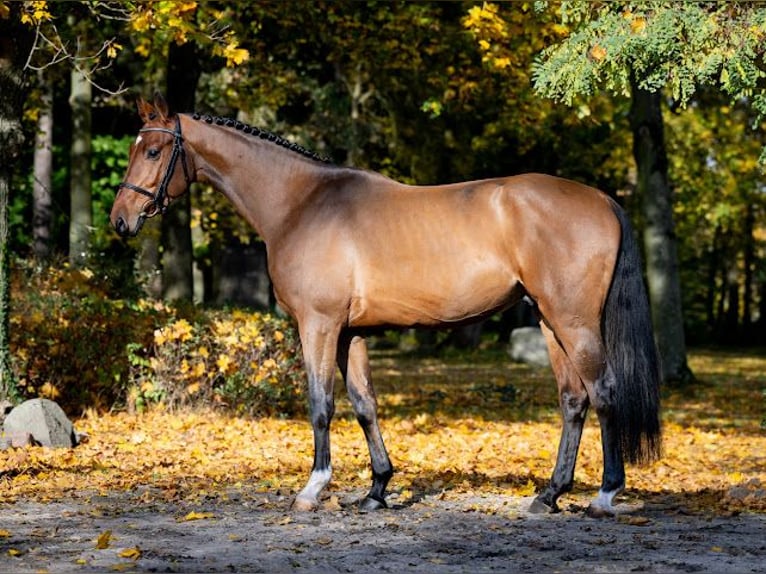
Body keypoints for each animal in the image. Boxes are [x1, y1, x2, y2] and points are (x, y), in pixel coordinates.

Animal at [110, 93, 661, 517]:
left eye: (154, 150)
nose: (121, 219)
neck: (301, 203)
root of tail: (603, 200)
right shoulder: (350, 334)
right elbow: (364, 406)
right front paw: (376, 489)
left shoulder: (318, 325)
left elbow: (321, 405)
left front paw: (314, 488)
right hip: (550, 323)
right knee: (573, 400)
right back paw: (548, 495)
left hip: (574, 322)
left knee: (604, 392)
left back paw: (605, 495)